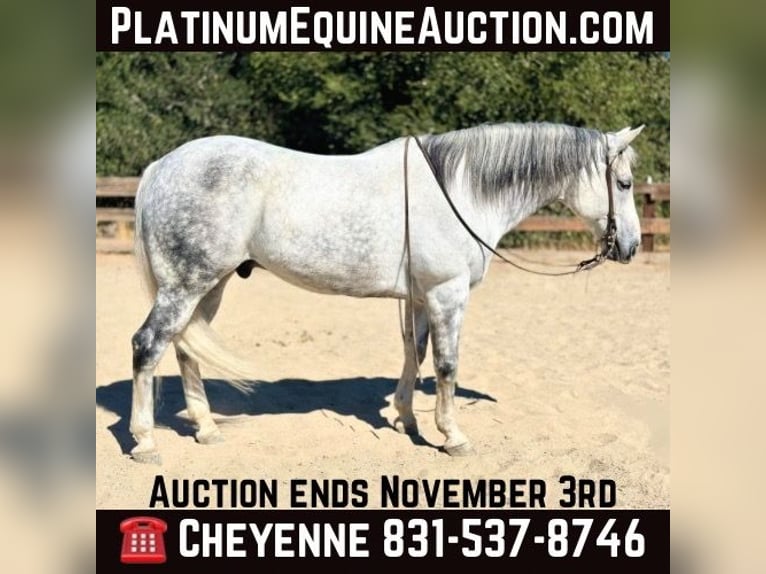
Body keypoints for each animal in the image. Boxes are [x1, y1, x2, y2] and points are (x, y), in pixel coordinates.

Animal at [128, 121, 644, 464]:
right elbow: (446, 364)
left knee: (186, 349)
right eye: (623, 182)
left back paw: (206, 429)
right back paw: (145, 442)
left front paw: (405, 418)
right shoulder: (447, 293)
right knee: (148, 346)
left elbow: (414, 353)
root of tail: (159, 168)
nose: (631, 246)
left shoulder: (419, 297)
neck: (459, 191)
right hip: (186, 285)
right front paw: (452, 436)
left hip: (209, 287)